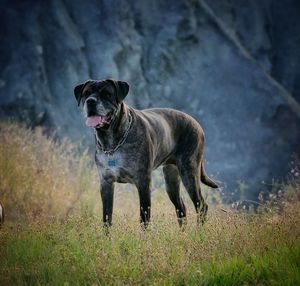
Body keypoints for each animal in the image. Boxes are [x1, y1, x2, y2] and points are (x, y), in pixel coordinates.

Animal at [73, 78, 217, 228]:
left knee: (201, 205)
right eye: (86, 93)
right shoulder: (106, 183)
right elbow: (107, 217)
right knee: (181, 207)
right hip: (171, 179)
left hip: (189, 173)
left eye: (106, 93)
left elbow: (144, 217)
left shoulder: (143, 183)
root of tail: (196, 123)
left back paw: (199, 230)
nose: (90, 101)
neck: (112, 142)